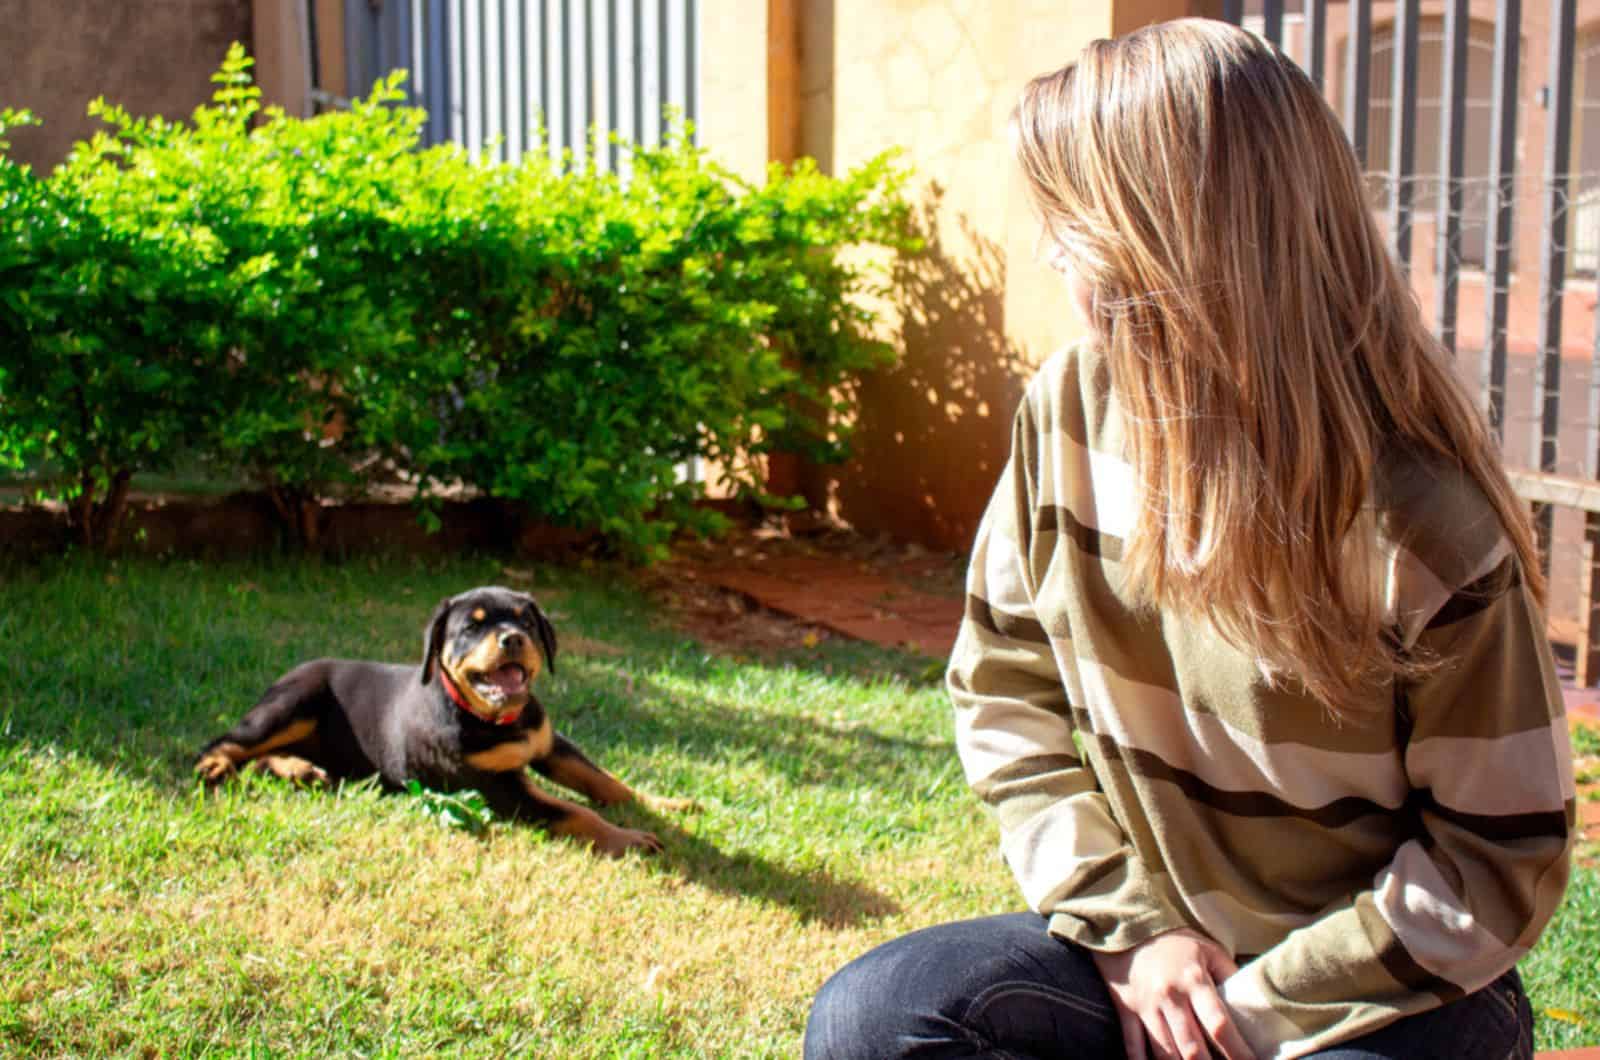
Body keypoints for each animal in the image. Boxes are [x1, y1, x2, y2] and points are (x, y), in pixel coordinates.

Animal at [195, 586, 662, 858]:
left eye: (526, 620)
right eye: (471, 628)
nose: (513, 638)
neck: (497, 719)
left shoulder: (549, 744)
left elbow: (604, 781)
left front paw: (661, 803)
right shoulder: (497, 787)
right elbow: (572, 810)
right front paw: (630, 839)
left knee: (263, 757)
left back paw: (301, 770)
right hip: (292, 703)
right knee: (229, 742)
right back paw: (214, 765)